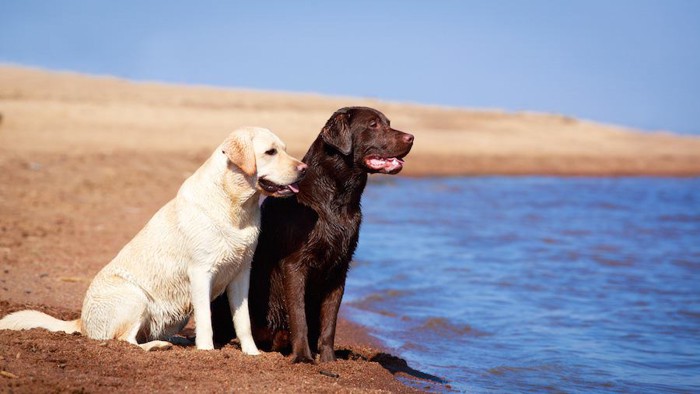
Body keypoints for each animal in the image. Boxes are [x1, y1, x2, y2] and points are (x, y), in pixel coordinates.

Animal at [0, 127, 306, 352]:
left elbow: (243, 322)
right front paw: (207, 351)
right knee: (126, 341)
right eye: (270, 152)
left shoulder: (242, 274)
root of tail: (81, 323)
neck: (235, 207)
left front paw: (251, 353)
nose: (304, 168)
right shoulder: (201, 273)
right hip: (135, 297)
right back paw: (157, 346)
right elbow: (206, 320)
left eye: (285, 149)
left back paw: (176, 340)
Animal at [211, 107, 412, 364]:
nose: (411, 137)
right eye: (373, 124)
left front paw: (328, 359)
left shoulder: (339, 269)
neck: (334, 200)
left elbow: (329, 324)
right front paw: (303, 357)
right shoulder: (295, 266)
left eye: (387, 122)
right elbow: (299, 317)